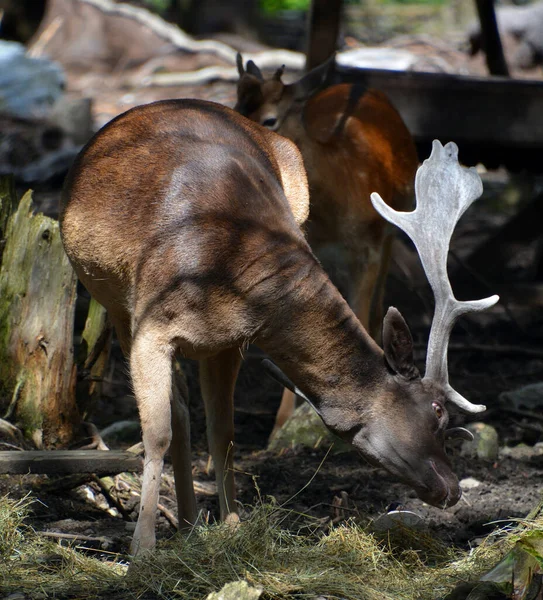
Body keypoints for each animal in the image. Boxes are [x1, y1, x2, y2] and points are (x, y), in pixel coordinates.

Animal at [59, 96, 498, 556]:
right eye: (437, 412)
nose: (453, 489)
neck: (230, 262)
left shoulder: (230, 339)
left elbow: (224, 430)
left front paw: (231, 528)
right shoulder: (150, 323)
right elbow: (158, 432)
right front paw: (142, 551)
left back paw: (190, 523)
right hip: (115, 302)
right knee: (175, 411)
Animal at [235, 55, 420, 436]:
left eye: (270, 119)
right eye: (234, 104)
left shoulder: (367, 249)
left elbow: (359, 319)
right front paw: (279, 428)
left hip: (397, 220)